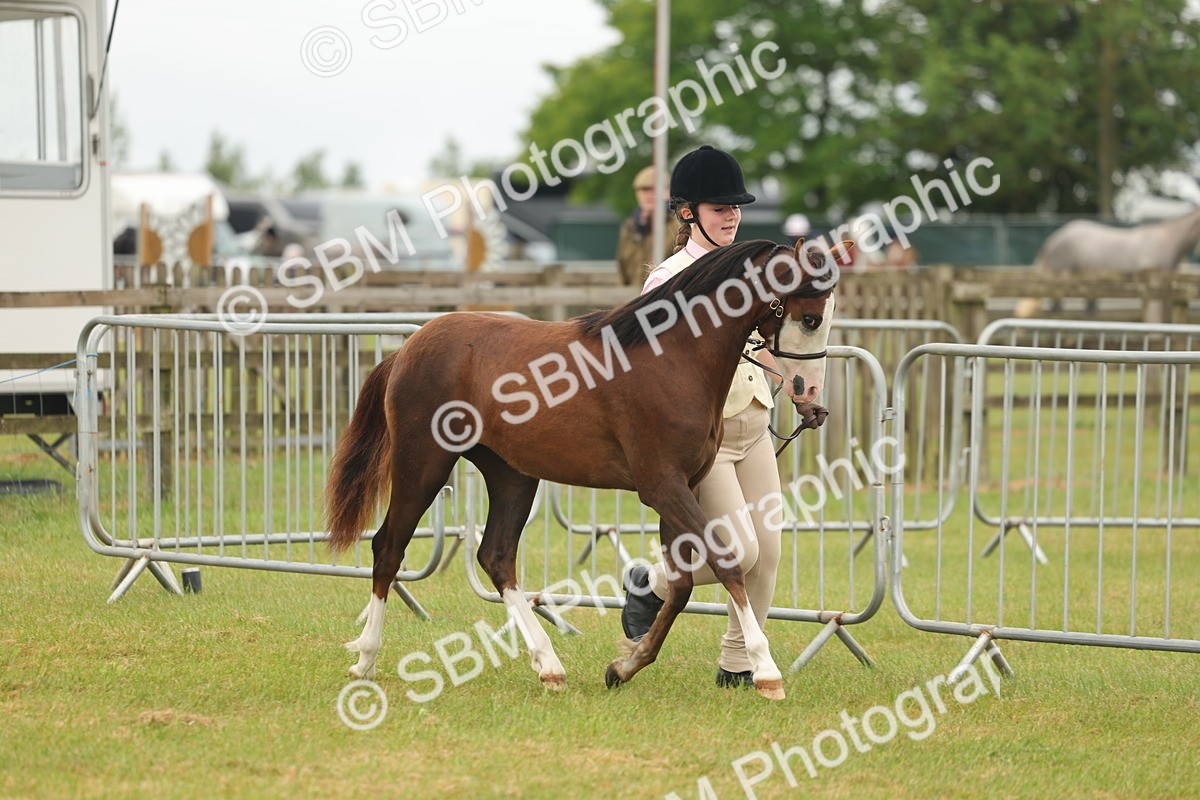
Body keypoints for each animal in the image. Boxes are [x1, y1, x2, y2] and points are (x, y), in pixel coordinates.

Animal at [324, 238, 841, 701]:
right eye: (810, 318)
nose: (809, 393)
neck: (673, 358)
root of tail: (407, 347)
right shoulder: (663, 487)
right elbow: (727, 564)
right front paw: (767, 672)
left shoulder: (683, 487)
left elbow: (681, 584)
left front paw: (624, 666)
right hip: (423, 463)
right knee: (389, 548)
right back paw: (365, 659)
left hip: (512, 475)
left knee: (496, 556)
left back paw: (549, 666)